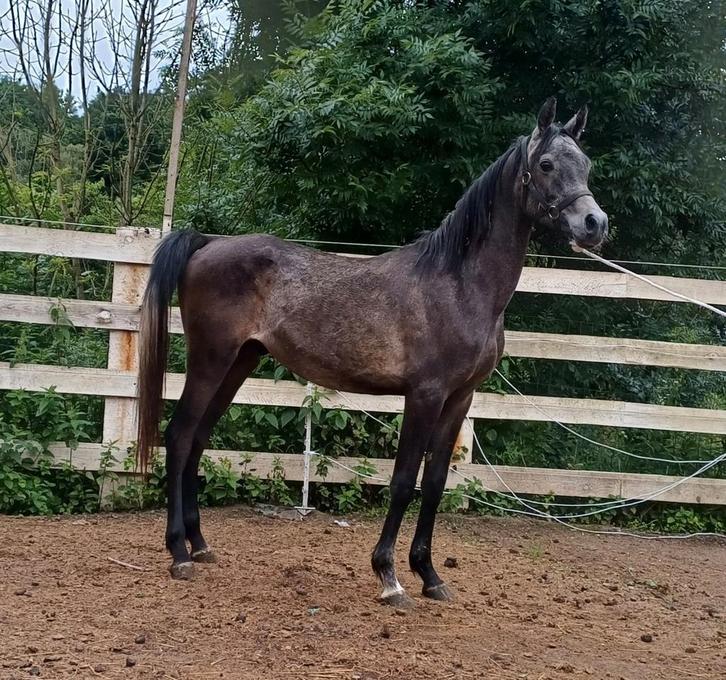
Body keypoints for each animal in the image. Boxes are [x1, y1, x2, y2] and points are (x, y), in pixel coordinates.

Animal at [136, 97, 607, 607]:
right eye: (546, 164)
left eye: (586, 164)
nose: (594, 224)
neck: (458, 285)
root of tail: (207, 243)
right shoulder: (424, 395)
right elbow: (402, 481)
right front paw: (389, 576)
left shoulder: (459, 399)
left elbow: (434, 483)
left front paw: (429, 575)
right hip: (211, 359)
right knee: (180, 435)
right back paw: (178, 553)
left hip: (240, 361)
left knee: (199, 439)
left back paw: (200, 545)